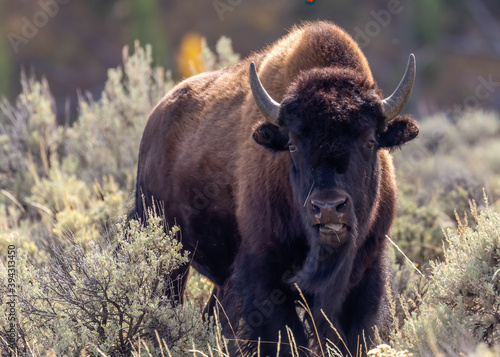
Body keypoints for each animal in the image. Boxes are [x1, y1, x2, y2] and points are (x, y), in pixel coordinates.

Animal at [133, 20, 418, 354]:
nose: (328, 208)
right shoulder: (266, 276)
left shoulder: (365, 275)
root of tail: (157, 115)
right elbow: (286, 337)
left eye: (370, 141)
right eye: (292, 144)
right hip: (165, 249)